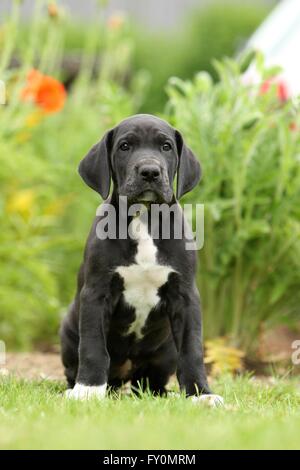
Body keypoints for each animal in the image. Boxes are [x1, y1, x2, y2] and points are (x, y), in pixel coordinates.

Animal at [59, 114, 223, 404]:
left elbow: (192, 350)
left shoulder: (185, 295)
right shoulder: (96, 292)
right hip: (67, 330)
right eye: (125, 146)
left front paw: (200, 394)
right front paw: (88, 389)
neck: (144, 217)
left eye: (166, 147)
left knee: (150, 382)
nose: (149, 171)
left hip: (166, 350)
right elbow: (92, 346)